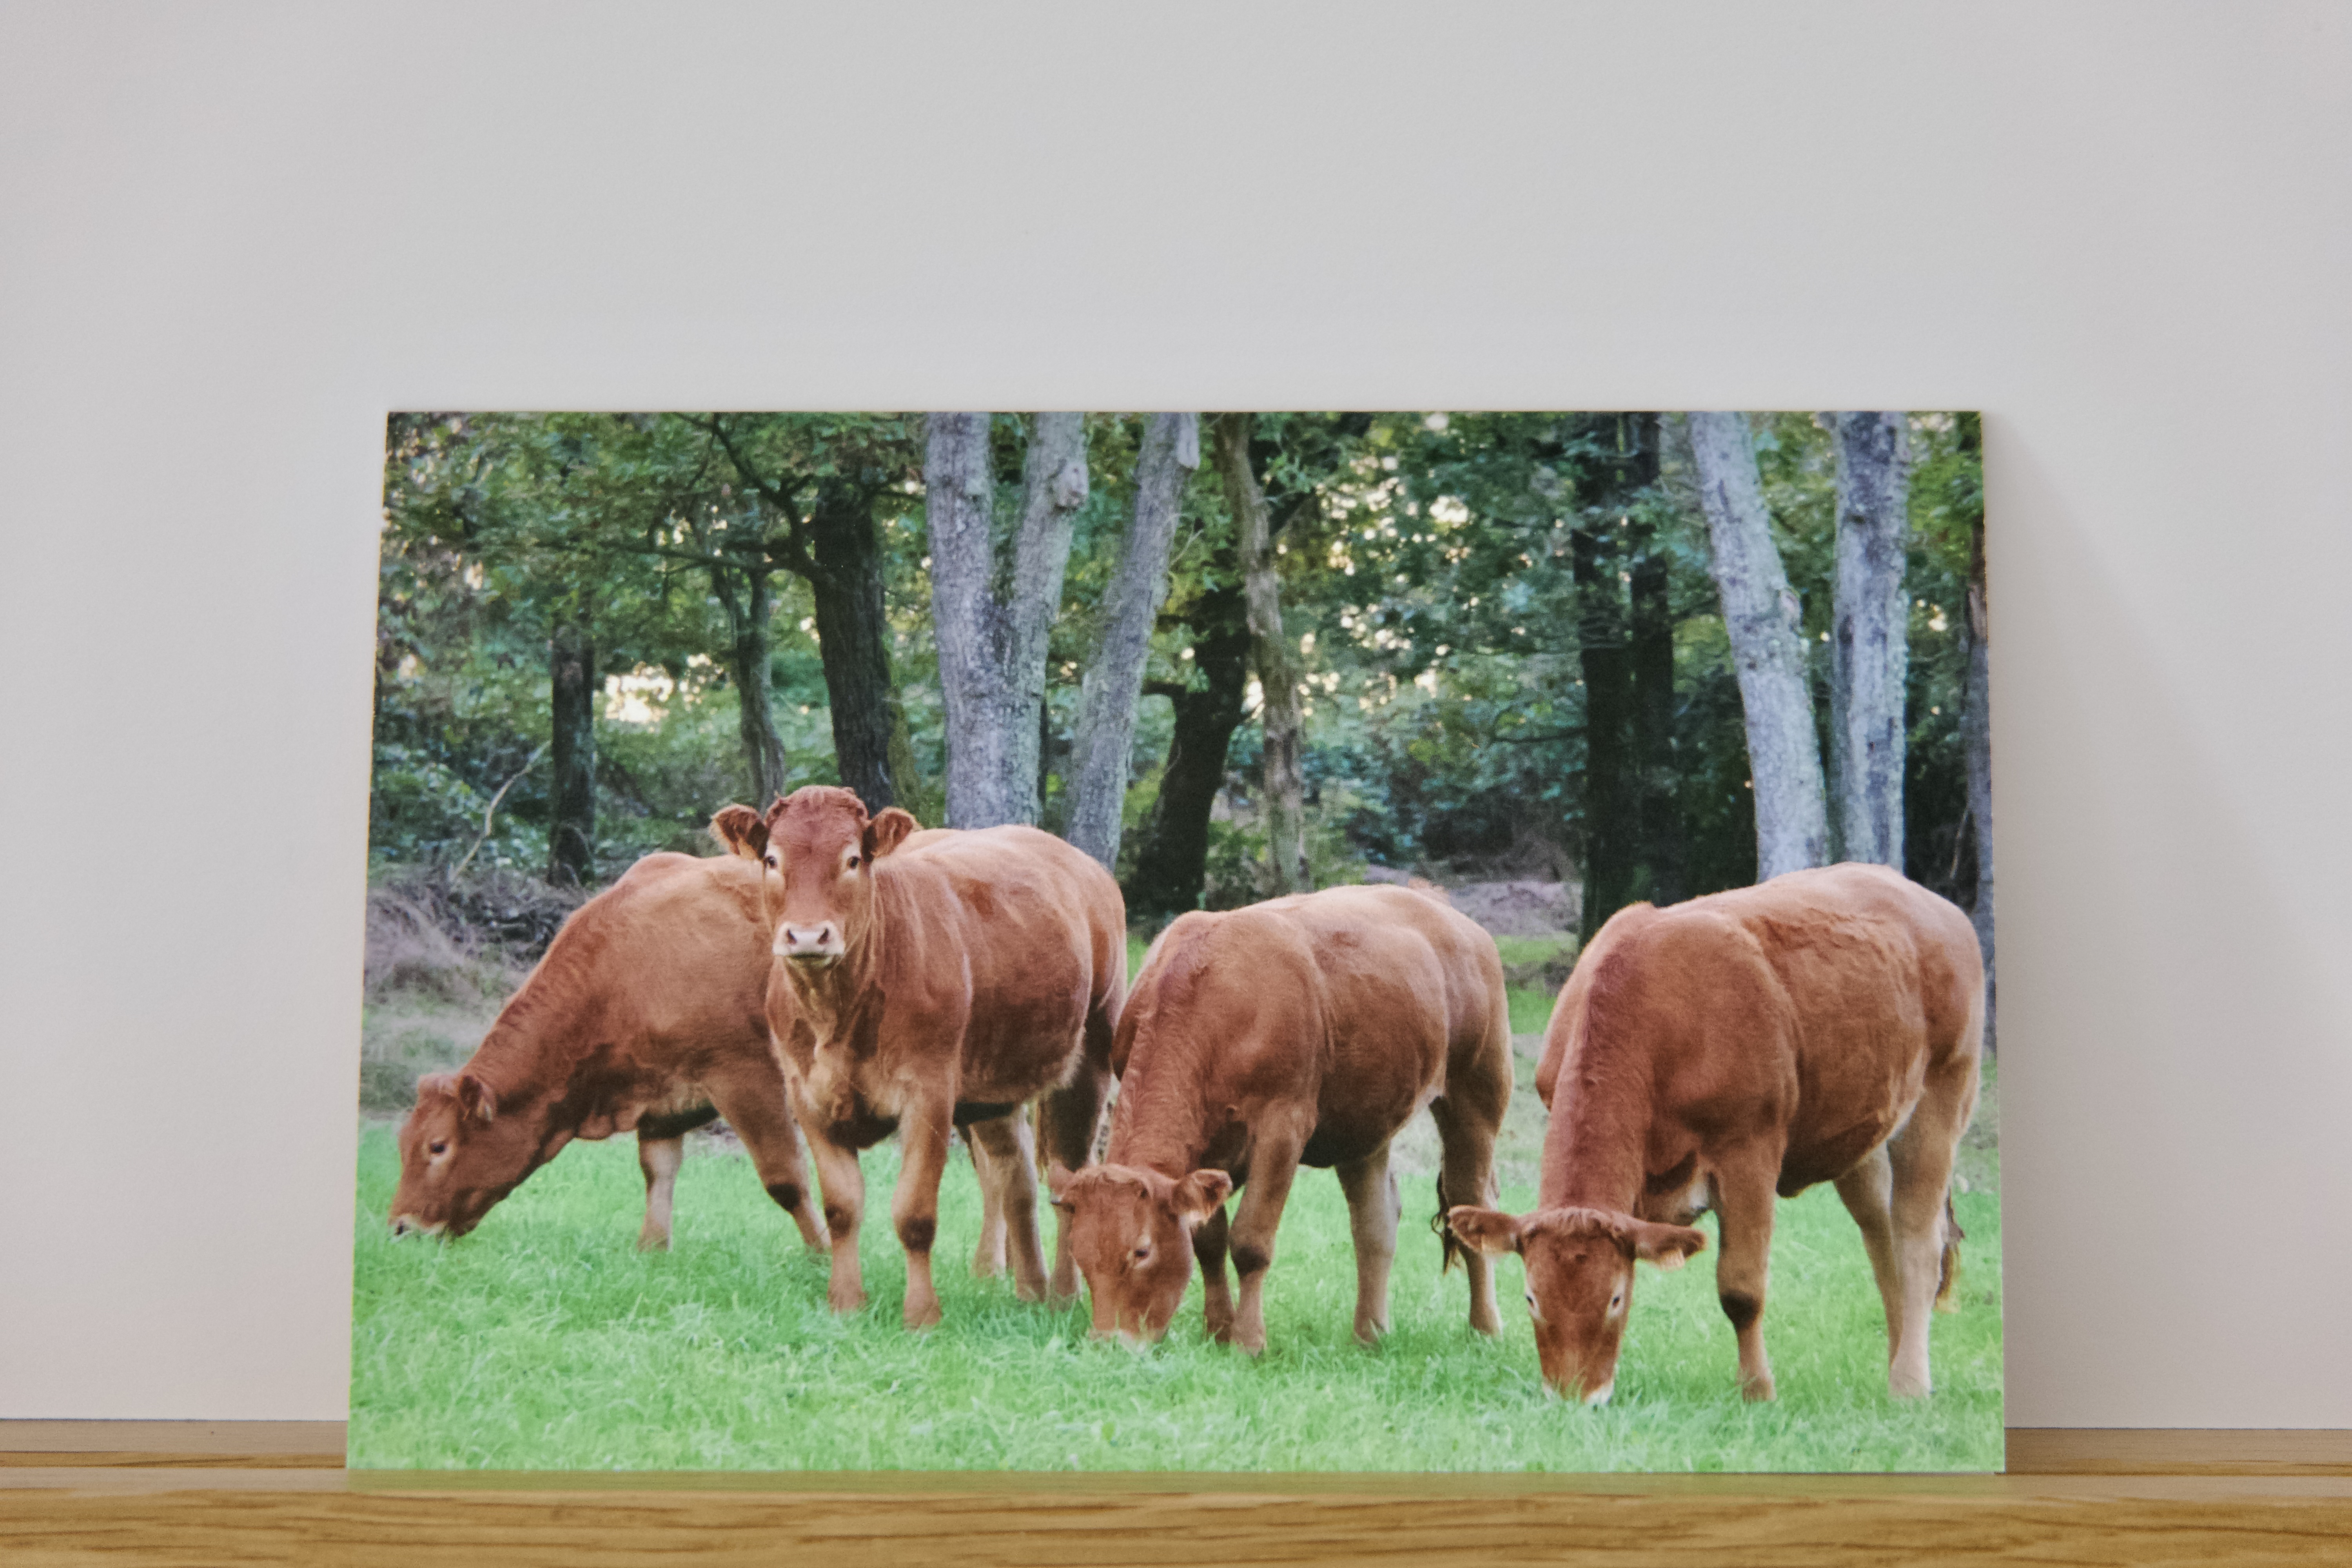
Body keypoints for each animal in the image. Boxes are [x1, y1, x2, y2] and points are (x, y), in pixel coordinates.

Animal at [388, 850, 828, 1255]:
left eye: (438, 1146)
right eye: (403, 1141)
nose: (401, 1227)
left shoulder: (746, 1075)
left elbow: (785, 1178)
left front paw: (823, 1254)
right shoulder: (662, 1099)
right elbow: (658, 1172)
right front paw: (652, 1248)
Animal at [710, 787, 1126, 1331]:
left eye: (852, 859)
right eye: (772, 859)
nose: (807, 936)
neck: (839, 1014)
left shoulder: (929, 1093)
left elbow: (914, 1212)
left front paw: (922, 1314)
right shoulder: (807, 1097)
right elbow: (841, 1206)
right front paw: (846, 1302)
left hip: (1090, 1059)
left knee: (1070, 1177)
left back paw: (1062, 1295)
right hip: (994, 1086)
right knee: (1014, 1175)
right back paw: (1030, 1289)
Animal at [1045, 883, 1514, 1353]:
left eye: (1141, 1251)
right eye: (1080, 1253)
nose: (1108, 1342)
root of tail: (1438, 905)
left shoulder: (1283, 1125)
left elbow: (1250, 1240)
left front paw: (1248, 1341)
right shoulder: (1207, 1149)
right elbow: (1208, 1239)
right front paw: (1218, 1328)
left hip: (1477, 1092)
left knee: (1468, 1199)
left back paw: (1486, 1328)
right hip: (1365, 1123)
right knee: (1375, 1223)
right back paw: (1369, 1333)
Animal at [1447, 863, 1984, 1405]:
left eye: (1615, 1298)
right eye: (1532, 1297)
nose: (1577, 1397)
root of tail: (1933, 904)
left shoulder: (1749, 1150)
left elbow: (1741, 1287)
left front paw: (1757, 1390)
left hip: (1945, 1089)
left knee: (1919, 1242)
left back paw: (1910, 1382)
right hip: (1861, 1131)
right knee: (1882, 1236)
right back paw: (1898, 1362)